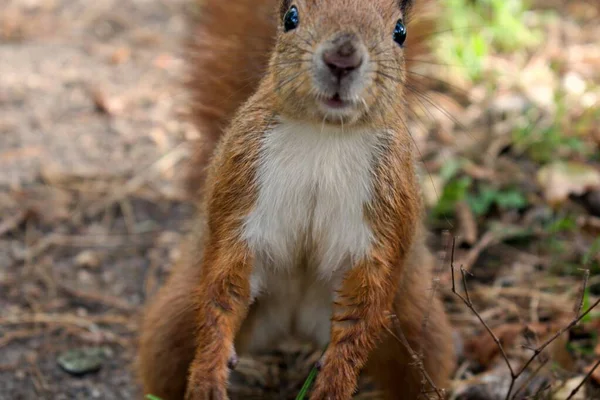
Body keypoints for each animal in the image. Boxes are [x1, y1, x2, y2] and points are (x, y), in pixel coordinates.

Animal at [137, 0, 454, 400]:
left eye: (400, 32)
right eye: (291, 17)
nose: (342, 58)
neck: (325, 136)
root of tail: (293, 327)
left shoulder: (387, 215)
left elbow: (363, 310)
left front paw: (333, 385)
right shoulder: (240, 193)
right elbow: (223, 291)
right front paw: (209, 377)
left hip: (419, 334)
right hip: (173, 326)